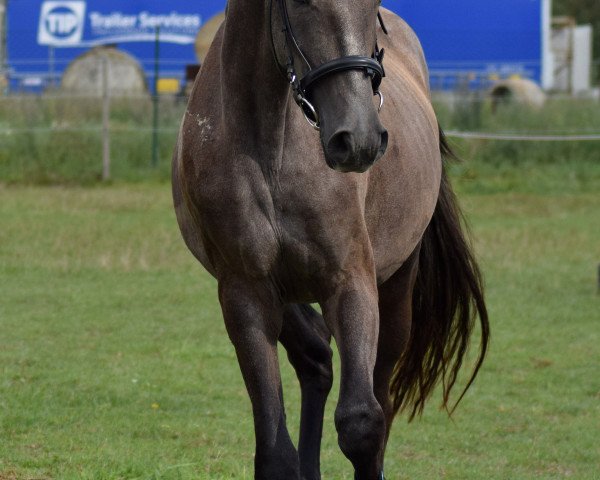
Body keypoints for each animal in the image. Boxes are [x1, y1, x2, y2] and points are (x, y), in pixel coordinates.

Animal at [171, 1, 490, 478]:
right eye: (300, 4)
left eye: (372, 8)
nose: (358, 138)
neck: (273, 150)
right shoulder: (245, 293)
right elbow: (275, 453)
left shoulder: (349, 283)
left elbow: (362, 423)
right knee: (316, 358)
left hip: (396, 291)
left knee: (381, 400)